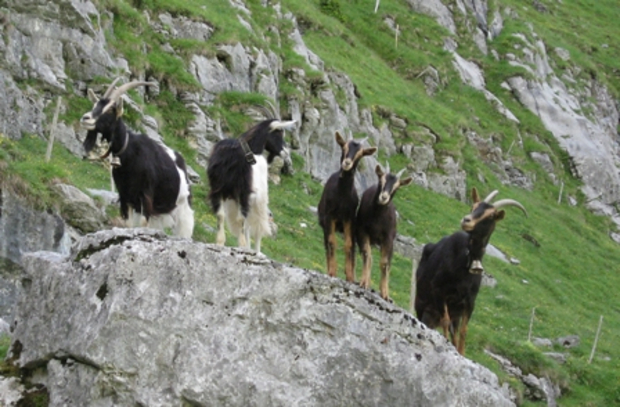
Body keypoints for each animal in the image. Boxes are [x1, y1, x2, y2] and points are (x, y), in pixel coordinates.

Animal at [79, 77, 194, 239]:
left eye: (110, 109)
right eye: (94, 106)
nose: (85, 118)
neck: (129, 153)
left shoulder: (145, 195)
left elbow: (143, 224)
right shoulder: (125, 196)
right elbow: (128, 225)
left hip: (183, 208)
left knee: (184, 230)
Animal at [207, 116, 296, 253]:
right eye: (278, 134)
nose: (286, 153)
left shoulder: (244, 192)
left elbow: (241, 219)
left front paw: (242, 245)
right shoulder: (218, 189)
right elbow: (221, 215)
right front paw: (220, 242)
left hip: (259, 200)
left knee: (258, 225)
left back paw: (257, 252)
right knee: (247, 224)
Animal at [320, 133, 378, 284]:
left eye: (360, 153)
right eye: (344, 147)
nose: (346, 163)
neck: (341, 196)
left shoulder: (349, 219)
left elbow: (348, 245)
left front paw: (350, 276)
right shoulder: (330, 216)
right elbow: (332, 242)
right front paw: (332, 271)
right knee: (326, 243)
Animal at [414, 187, 524, 354]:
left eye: (491, 215)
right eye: (473, 206)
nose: (466, 220)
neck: (466, 261)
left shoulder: (469, 301)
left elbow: (463, 330)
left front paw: (461, 353)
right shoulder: (439, 290)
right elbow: (446, 321)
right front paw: (446, 344)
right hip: (422, 303)